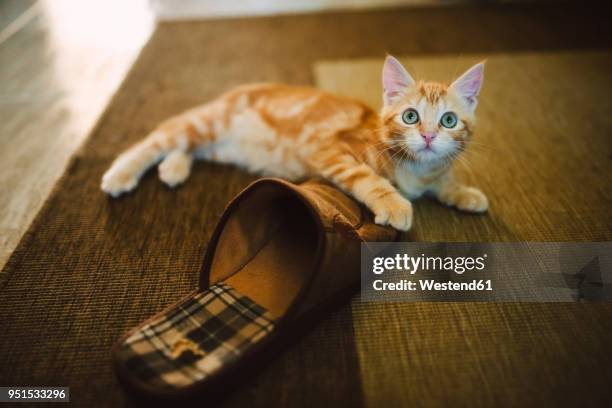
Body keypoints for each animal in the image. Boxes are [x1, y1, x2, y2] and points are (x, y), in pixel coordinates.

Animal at [101, 55, 488, 231]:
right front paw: (393, 203)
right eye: (410, 116)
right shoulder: (329, 150)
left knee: (188, 147)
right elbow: (367, 178)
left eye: (448, 120)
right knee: (159, 137)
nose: (428, 136)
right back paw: (121, 174)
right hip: (208, 122)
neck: (416, 169)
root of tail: (236, 90)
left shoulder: (432, 171)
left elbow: (442, 182)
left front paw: (466, 192)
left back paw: (174, 168)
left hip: (217, 144)